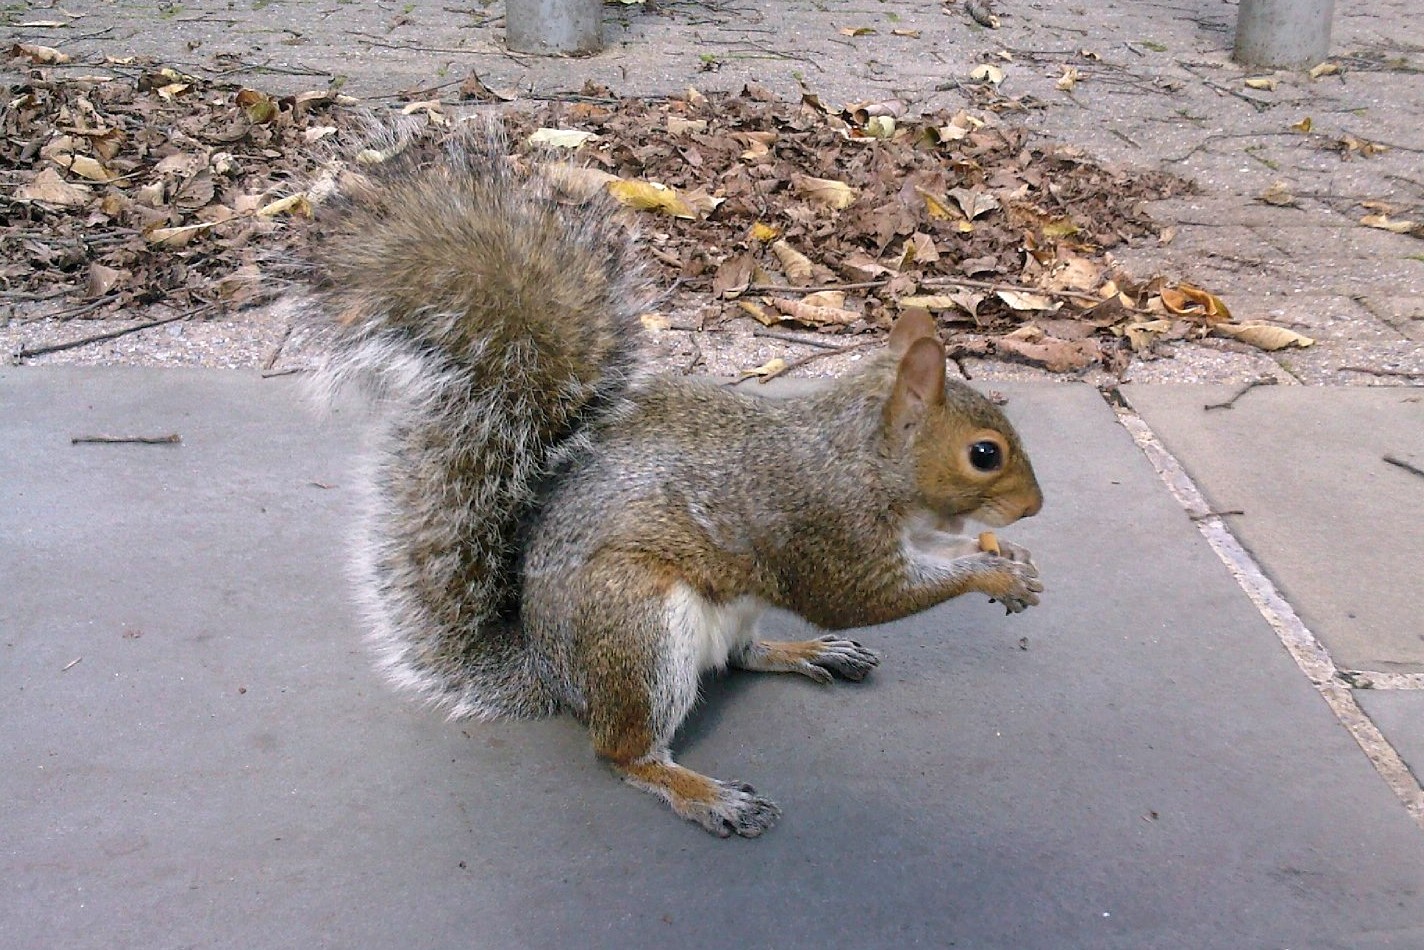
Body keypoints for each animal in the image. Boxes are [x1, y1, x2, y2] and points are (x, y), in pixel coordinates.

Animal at [303, 124, 1044, 838]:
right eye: (985, 454)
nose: (1034, 508)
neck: (858, 454)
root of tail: (550, 669)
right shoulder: (824, 527)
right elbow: (863, 597)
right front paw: (994, 572)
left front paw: (1006, 557)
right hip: (639, 626)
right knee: (622, 753)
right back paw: (705, 794)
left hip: (724, 613)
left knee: (741, 657)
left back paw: (806, 651)